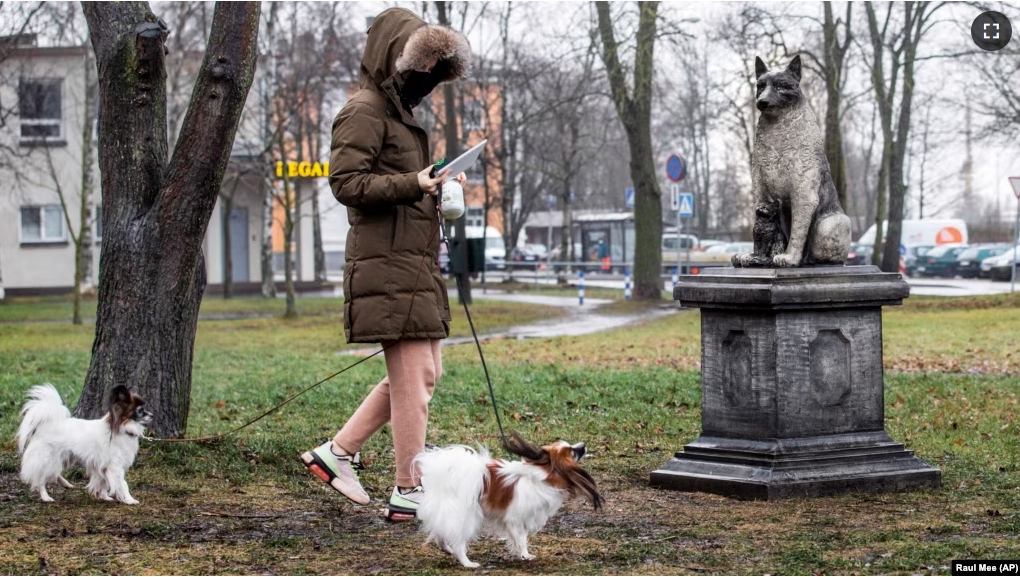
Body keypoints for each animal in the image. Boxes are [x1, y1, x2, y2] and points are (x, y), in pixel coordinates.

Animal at [16, 387, 150, 503]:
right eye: (140, 411)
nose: (152, 415)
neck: (122, 429)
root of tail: (45, 424)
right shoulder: (115, 466)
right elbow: (122, 484)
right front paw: (130, 500)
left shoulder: (102, 466)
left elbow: (103, 482)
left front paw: (104, 496)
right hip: (48, 458)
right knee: (41, 479)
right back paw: (46, 497)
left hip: (64, 457)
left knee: (54, 474)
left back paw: (65, 484)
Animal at [414, 434, 599, 570]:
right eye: (573, 452)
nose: (584, 444)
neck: (545, 474)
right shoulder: (515, 519)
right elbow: (522, 538)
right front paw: (525, 555)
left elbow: (516, 539)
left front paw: (518, 553)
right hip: (467, 517)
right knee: (459, 542)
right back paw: (468, 563)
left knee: (440, 530)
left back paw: (446, 548)